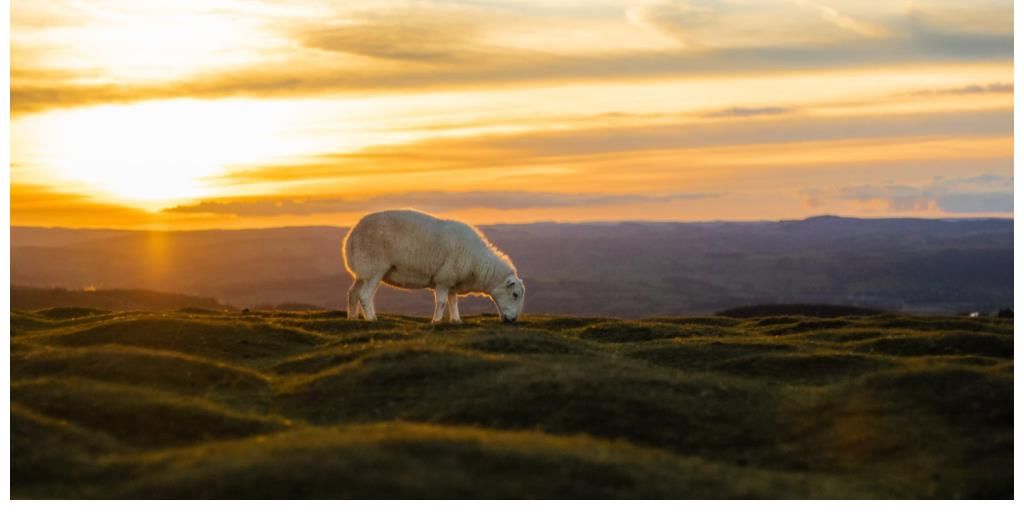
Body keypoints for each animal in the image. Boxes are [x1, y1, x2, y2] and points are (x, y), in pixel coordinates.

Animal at [344, 208, 528, 323]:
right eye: (515, 295)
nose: (513, 320)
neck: (478, 265)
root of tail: (351, 237)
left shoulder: (452, 281)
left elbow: (453, 301)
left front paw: (456, 320)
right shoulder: (443, 278)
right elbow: (441, 302)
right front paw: (436, 321)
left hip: (363, 270)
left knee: (352, 293)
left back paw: (352, 318)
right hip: (374, 268)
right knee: (365, 296)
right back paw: (371, 319)